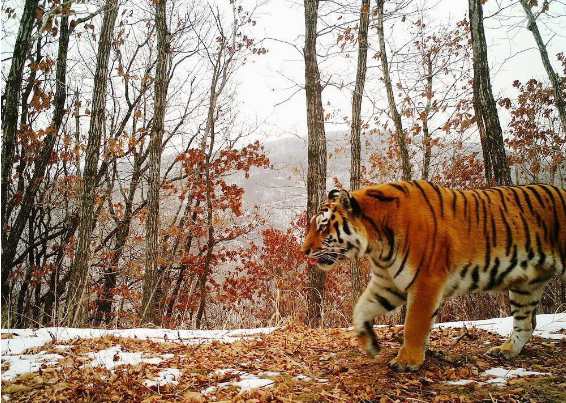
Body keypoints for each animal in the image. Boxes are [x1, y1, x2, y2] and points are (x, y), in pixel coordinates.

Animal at [304, 181, 566, 370]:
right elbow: (360, 308)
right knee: (526, 323)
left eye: (323, 227)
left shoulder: (425, 282)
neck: (377, 244)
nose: (304, 251)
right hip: (526, 286)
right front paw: (369, 343)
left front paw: (407, 361)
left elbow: (414, 324)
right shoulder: (387, 284)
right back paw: (506, 351)